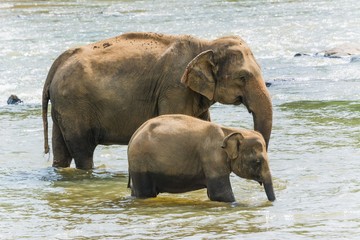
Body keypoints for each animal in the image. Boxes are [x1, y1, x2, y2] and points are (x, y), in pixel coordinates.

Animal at [42, 31, 272, 170]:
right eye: (242, 77)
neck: (206, 44)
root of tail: (57, 63)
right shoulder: (175, 89)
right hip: (75, 106)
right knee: (82, 150)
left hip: (63, 107)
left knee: (61, 149)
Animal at [127, 114, 276, 202]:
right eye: (257, 162)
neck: (229, 131)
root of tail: (134, 135)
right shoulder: (212, 156)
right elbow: (220, 194)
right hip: (140, 163)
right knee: (146, 193)